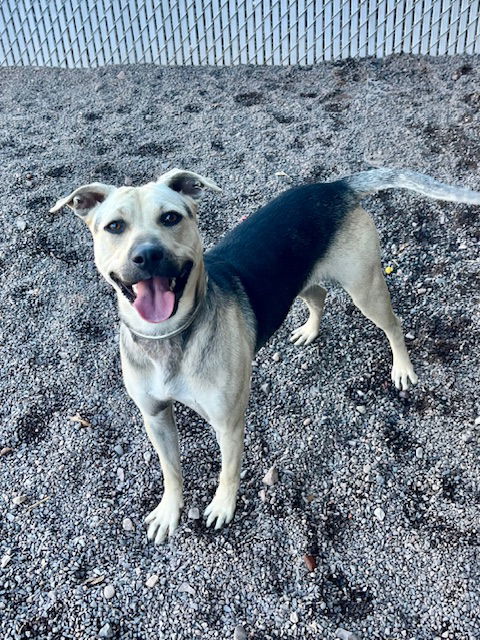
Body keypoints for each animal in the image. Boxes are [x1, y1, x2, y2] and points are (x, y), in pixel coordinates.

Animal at [49, 168, 480, 544]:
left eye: (170, 217)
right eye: (115, 227)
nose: (147, 255)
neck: (169, 337)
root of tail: (334, 186)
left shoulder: (227, 422)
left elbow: (228, 470)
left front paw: (222, 507)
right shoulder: (155, 416)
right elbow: (171, 470)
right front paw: (170, 511)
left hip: (365, 286)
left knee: (392, 323)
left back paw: (402, 368)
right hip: (299, 283)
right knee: (319, 295)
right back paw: (309, 331)